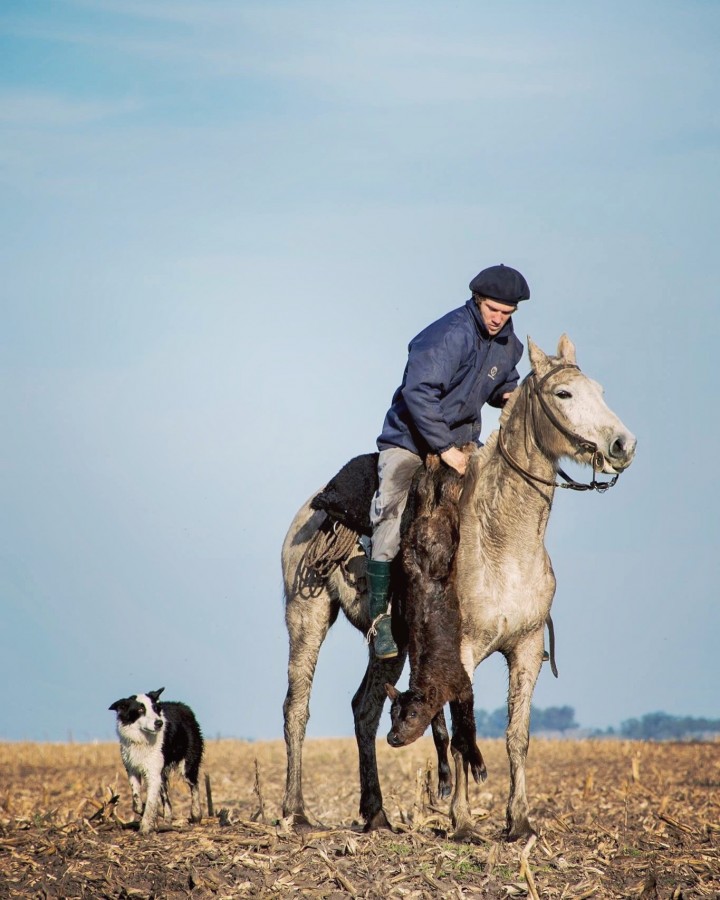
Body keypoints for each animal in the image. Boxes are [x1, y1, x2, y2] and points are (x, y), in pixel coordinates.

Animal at [109, 688, 205, 828]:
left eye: (155, 708)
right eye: (140, 710)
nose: (159, 723)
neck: (142, 740)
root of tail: (183, 706)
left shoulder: (153, 772)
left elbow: (150, 802)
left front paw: (146, 827)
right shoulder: (132, 769)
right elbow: (137, 803)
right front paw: (149, 817)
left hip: (187, 766)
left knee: (194, 786)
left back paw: (196, 814)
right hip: (163, 775)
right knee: (166, 799)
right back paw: (167, 821)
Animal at [282, 334, 636, 840]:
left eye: (601, 391)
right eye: (564, 393)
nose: (623, 444)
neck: (500, 540)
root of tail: (313, 505)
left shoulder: (527, 647)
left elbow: (516, 736)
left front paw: (519, 822)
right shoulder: (459, 651)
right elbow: (457, 732)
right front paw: (463, 822)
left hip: (391, 649)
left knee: (364, 711)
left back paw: (377, 815)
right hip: (306, 617)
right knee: (297, 708)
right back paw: (296, 812)